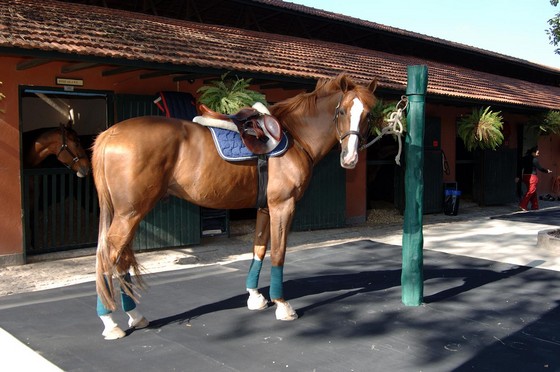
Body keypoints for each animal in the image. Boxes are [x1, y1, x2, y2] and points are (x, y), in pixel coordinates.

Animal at [92, 73, 376, 340]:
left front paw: (255, 297)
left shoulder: (265, 208)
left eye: (367, 115)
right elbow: (278, 254)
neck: (295, 137)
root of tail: (109, 134)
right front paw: (282, 305)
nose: (350, 158)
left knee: (120, 260)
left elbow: (259, 249)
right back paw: (110, 322)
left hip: (130, 214)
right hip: (130, 214)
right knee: (108, 257)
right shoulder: (283, 206)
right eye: (341, 111)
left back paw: (135, 315)